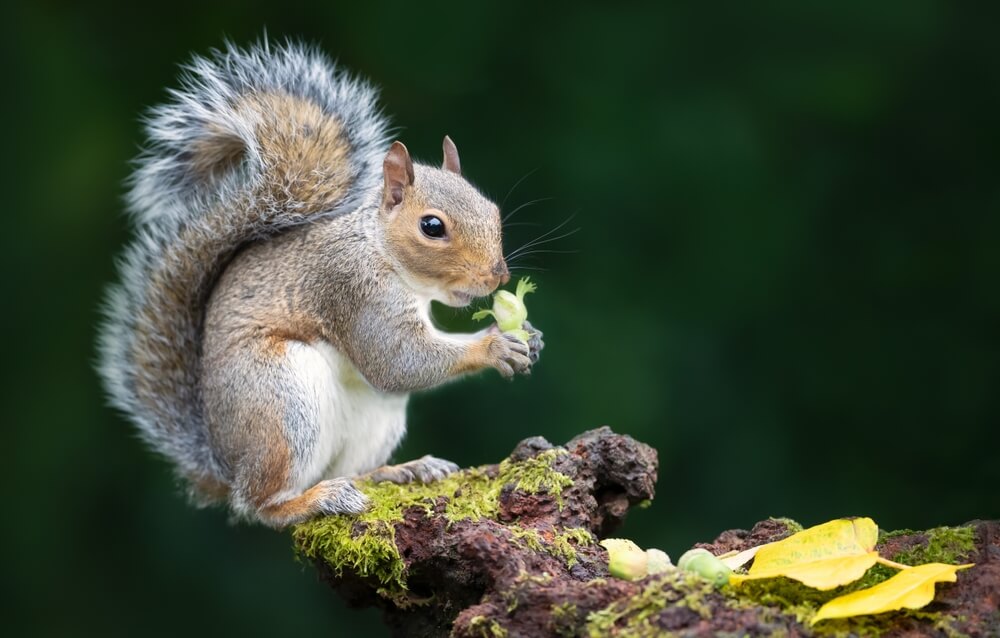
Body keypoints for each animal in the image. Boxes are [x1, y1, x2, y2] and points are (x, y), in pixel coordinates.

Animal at [97, 41, 543, 528]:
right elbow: (397, 362)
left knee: (351, 469)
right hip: (282, 403)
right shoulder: (353, 291)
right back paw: (315, 499)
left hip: (375, 418)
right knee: (260, 503)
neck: (380, 252)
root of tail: (225, 463)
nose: (497, 275)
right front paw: (496, 345)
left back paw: (400, 470)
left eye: (491, 209)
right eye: (432, 226)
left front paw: (529, 335)